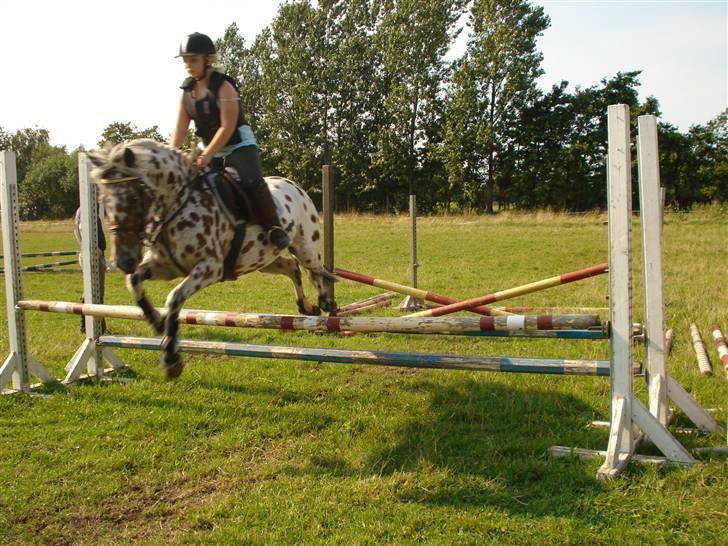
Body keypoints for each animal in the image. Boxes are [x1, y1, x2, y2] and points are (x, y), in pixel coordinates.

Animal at [87, 140, 336, 376]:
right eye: (103, 201)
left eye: (132, 198)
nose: (124, 261)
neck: (177, 203)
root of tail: (294, 185)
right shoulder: (165, 267)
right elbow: (134, 280)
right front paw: (156, 320)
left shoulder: (209, 268)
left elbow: (174, 298)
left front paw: (171, 360)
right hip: (264, 259)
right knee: (292, 267)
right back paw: (307, 307)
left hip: (304, 246)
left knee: (318, 271)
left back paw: (326, 303)